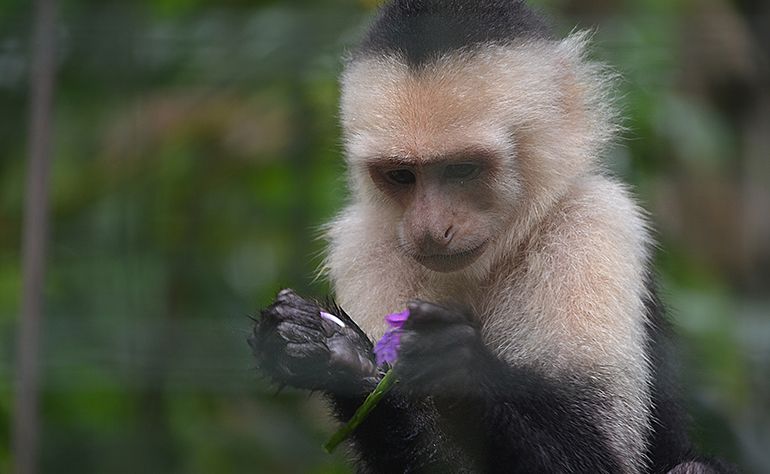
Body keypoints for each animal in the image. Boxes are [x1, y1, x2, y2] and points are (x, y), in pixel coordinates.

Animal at [249, 0, 736, 474]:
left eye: (462, 169)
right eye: (401, 175)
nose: (431, 229)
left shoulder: (594, 223)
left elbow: (604, 459)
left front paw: (457, 364)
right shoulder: (362, 247)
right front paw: (337, 354)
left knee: (691, 468)